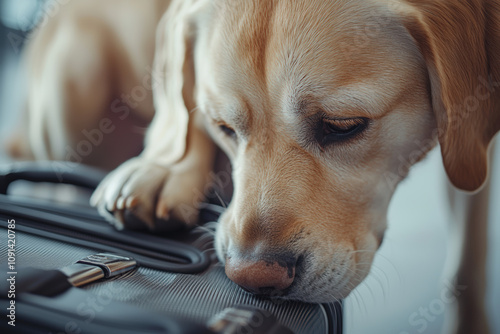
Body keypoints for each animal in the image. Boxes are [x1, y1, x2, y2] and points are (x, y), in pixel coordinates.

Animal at [7, 1, 500, 332]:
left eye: (343, 126)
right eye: (224, 126)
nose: (253, 278)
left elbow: (468, 261)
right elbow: (183, 98)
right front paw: (166, 167)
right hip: (74, 76)